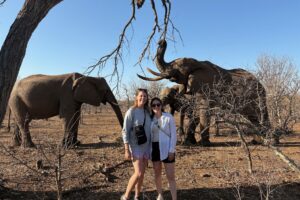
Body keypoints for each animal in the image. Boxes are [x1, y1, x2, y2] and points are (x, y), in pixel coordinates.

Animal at [138, 39, 272, 145]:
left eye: (177, 68)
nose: (161, 41)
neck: (197, 63)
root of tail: (261, 84)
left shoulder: (205, 88)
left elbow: (203, 110)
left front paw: (204, 144)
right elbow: (196, 112)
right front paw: (189, 143)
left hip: (258, 96)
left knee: (260, 114)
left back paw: (268, 142)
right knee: (253, 117)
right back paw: (257, 141)